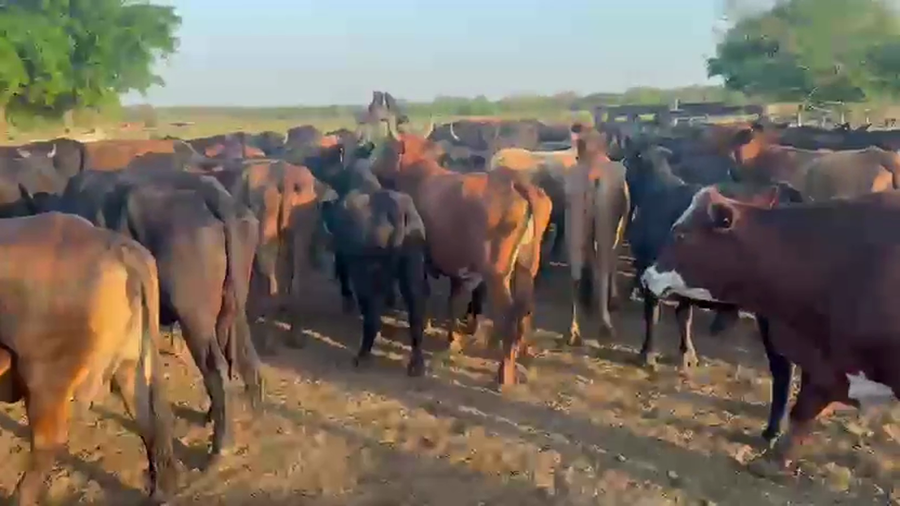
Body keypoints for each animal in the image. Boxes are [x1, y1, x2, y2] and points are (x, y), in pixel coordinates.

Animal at [58, 169, 262, 461]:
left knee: (217, 368)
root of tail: (216, 199)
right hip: (234, 308)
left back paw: (221, 445)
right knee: (244, 357)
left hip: (195, 318)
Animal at [320, 162, 429, 376]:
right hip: (413, 269)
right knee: (416, 315)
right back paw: (416, 364)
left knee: (372, 315)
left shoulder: (344, 255)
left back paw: (362, 355)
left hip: (369, 276)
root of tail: (397, 213)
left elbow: (343, 274)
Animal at [370, 117, 552, 386]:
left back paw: (504, 373)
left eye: (385, 146)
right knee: (525, 307)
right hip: (527, 265)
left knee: (508, 316)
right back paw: (522, 351)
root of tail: (515, 182)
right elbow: (454, 299)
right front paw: (453, 337)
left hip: (497, 274)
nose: (372, 164)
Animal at [562, 126, 629, 350]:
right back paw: (606, 325)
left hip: (573, 222)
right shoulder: (621, 225)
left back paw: (574, 331)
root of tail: (590, 178)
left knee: (575, 273)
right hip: (604, 223)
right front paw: (614, 299)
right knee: (604, 265)